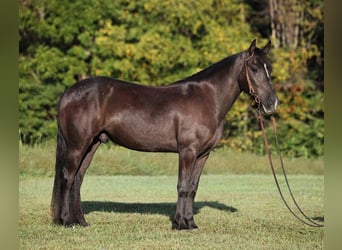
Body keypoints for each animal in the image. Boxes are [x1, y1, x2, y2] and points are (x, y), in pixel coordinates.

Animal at [52, 40, 280, 229]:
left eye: (269, 68)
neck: (207, 99)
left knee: (78, 178)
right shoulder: (187, 151)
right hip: (77, 146)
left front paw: (190, 223)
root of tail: (69, 93)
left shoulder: (203, 154)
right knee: (68, 177)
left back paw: (81, 221)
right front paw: (180, 223)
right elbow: (183, 186)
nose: (272, 103)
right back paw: (66, 221)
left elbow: (193, 188)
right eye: (254, 68)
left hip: (91, 145)